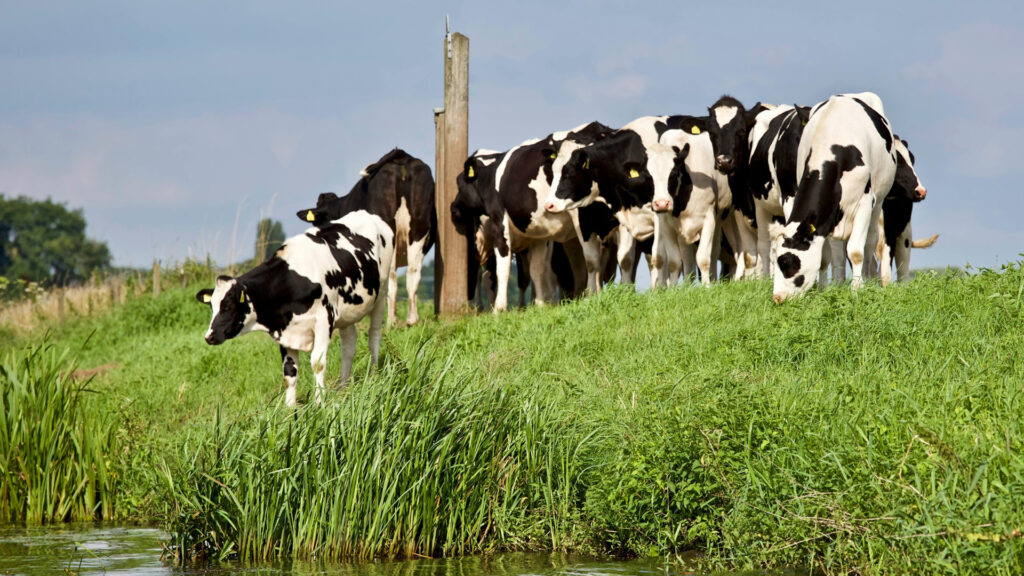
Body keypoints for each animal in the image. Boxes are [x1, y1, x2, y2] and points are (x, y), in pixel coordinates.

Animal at [197, 210, 394, 407]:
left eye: (227, 306)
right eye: (212, 306)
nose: (209, 337)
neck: (293, 280)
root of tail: (365, 213)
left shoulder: (324, 320)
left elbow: (318, 362)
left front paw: (319, 403)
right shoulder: (286, 329)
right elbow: (289, 372)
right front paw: (289, 408)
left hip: (381, 293)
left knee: (374, 336)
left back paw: (373, 376)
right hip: (347, 314)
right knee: (349, 343)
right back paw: (342, 386)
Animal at [297, 148, 434, 326]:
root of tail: (402, 157)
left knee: (391, 276)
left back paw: (391, 321)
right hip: (418, 231)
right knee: (413, 272)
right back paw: (411, 319)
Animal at [772, 92, 926, 302]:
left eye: (789, 263)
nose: (778, 298)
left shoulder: (864, 204)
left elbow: (856, 252)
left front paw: (857, 289)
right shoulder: (828, 217)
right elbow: (828, 257)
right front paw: (827, 290)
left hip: (878, 205)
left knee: (870, 244)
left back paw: (868, 279)